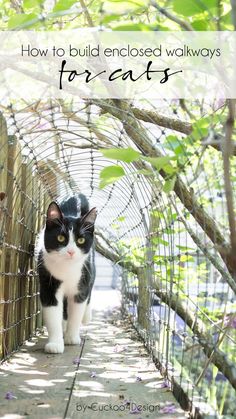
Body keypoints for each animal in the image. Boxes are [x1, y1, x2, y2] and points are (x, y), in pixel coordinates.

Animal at [35, 194, 96, 354]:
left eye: (81, 240)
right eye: (61, 238)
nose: (71, 252)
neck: (67, 269)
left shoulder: (82, 282)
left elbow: (76, 311)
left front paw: (72, 337)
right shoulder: (48, 284)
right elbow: (52, 313)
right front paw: (55, 343)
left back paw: (86, 316)